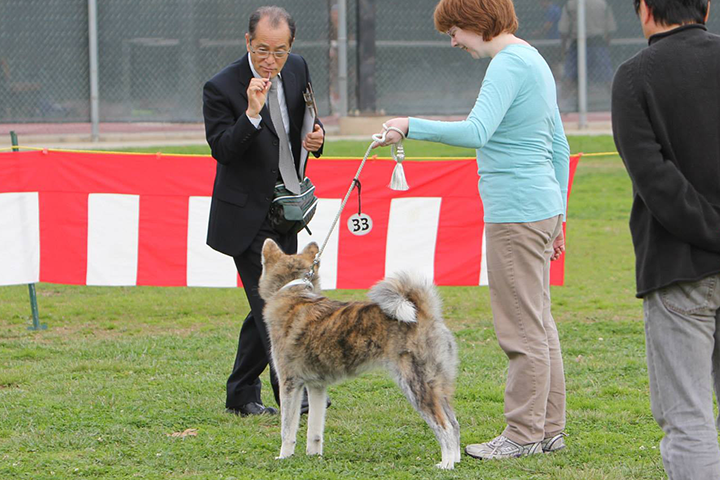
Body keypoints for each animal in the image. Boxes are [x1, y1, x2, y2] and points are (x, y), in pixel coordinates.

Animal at [258, 239, 462, 468]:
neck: (293, 292)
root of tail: (424, 312)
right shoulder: (316, 386)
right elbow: (315, 431)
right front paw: (313, 456)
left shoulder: (289, 383)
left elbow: (287, 430)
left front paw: (283, 456)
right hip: (439, 385)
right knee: (454, 424)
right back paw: (456, 460)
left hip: (416, 384)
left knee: (444, 426)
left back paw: (446, 465)